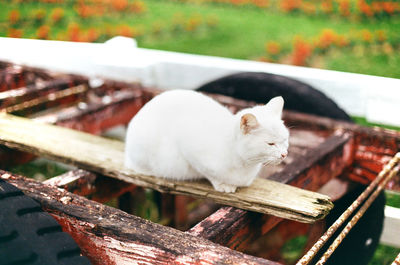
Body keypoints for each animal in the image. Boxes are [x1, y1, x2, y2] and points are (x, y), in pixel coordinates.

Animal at [123, 89, 290, 192]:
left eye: (285, 140)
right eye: (271, 143)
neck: (245, 165)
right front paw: (223, 185)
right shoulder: (189, 149)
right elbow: (210, 174)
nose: (284, 154)